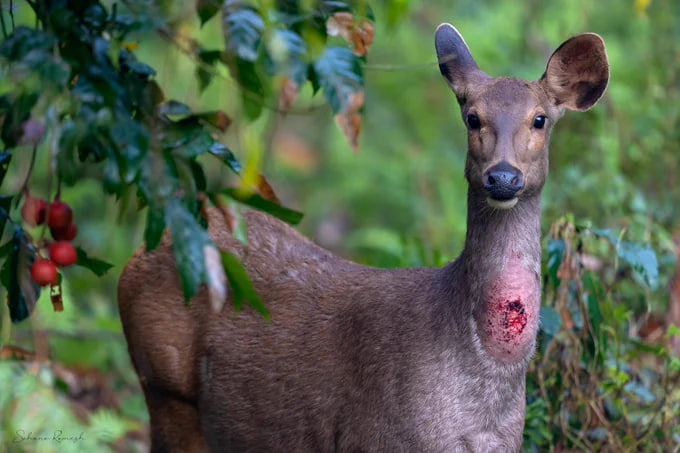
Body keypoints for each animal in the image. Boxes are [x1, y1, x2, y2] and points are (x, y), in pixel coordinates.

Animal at [117, 23, 609, 452]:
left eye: (540, 119)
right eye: (472, 117)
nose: (503, 177)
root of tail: (139, 254)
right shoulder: (378, 437)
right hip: (165, 388)